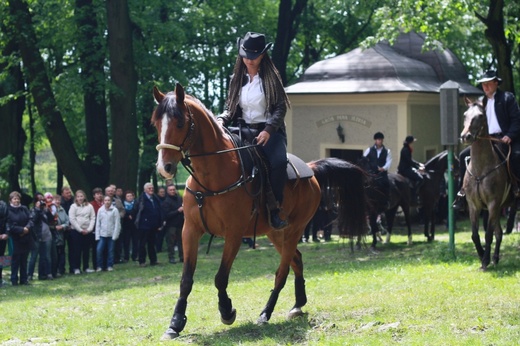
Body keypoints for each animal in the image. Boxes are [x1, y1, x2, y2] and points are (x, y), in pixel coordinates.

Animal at [152, 84, 368, 338]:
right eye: (156, 124)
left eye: (179, 123)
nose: (164, 168)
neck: (211, 176)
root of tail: (311, 170)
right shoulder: (190, 230)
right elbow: (186, 279)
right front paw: (175, 323)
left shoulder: (234, 234)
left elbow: (220, 277)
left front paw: (227, 311)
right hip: (276, 233)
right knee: (297, 261)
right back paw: (298, 304)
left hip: (294, 230)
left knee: (282, 272)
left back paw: (266, 313)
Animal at [460, 96, 512, 270]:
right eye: (465, 115)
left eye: (480, 116)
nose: (466, 137)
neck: (480, 169)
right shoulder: (474, 205)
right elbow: (475, 235)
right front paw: (483, 255)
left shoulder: (493, 204)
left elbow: (488, 234)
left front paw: (485, 260)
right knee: (500, 233)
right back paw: (495, 258)